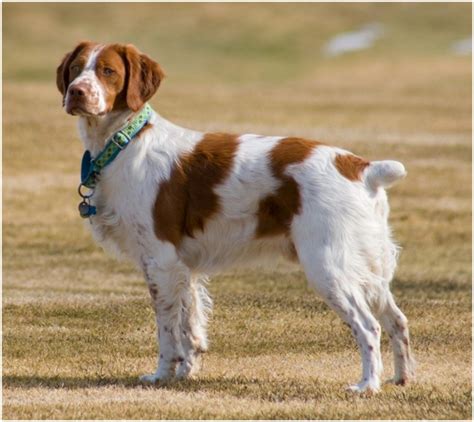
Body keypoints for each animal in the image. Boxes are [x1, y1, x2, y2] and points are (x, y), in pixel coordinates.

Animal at [56, 40, 414, 392]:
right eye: (76, 68)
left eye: (108, 71)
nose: (76, 92)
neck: (125, 142)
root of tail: (362, 168)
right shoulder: (183, 267)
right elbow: (190, 325)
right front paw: (185, 373)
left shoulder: (160, 260)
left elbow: (168, 331)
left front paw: (161, 376)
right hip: (367, 267)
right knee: (397, 320)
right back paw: (401, 378)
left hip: (328, 266)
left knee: (368, 326)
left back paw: (367, 384)